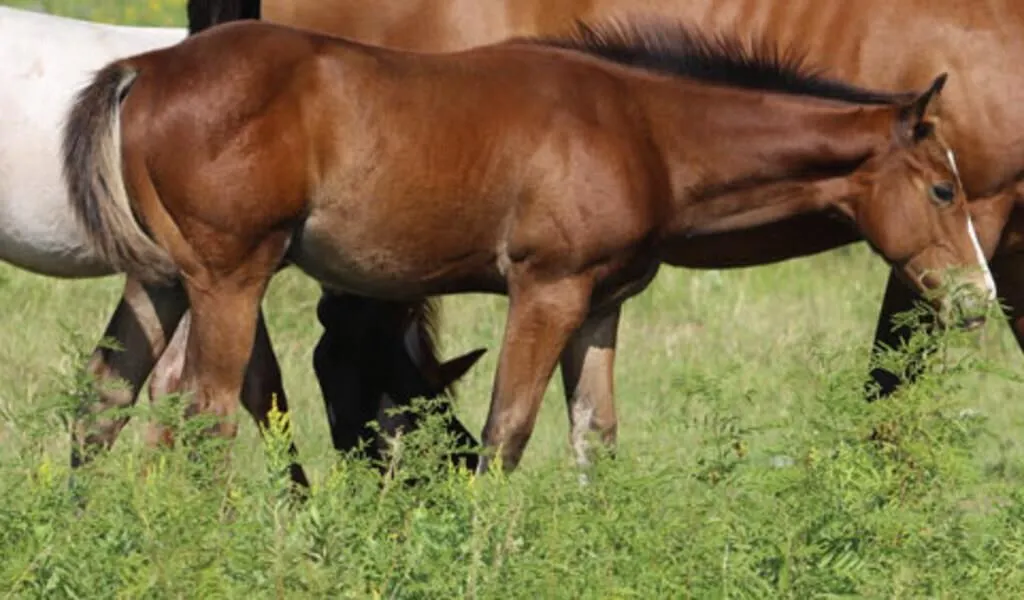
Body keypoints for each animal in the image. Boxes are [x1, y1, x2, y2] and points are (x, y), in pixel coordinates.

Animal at [62, 18, 995, 474]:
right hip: (229, 278)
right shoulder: (546, 290)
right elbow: (506, 432)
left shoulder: (601, 305)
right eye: (942, 190)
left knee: (104, 406)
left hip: (161, 279)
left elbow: (596, 441)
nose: (980, 298)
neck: (642, 129)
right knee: (204, 417)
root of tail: (145, 68)